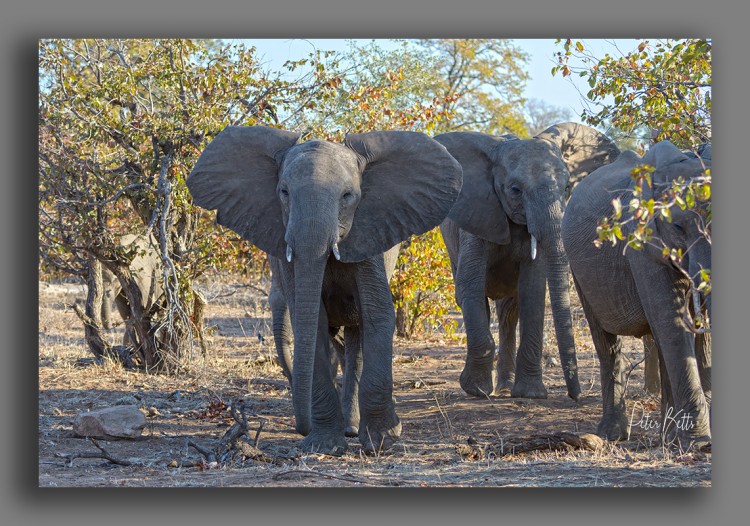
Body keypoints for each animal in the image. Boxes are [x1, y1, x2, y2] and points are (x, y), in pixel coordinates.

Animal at [187, 126, 464, 456]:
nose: (301, 427)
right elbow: (312, 320)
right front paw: (324, 446)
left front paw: (382, 442)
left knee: (357, 339)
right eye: (283, 192)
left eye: (348, 196)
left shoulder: (369, 234)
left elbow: (378, 313)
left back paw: (354, 429)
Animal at [438, 124, 620, 402]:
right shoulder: (475, 217)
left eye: (567, 187)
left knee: (509, 311)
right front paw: (476, 390)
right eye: (515, 190)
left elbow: (533, 291)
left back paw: (504, 388)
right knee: (478, 300)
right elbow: (470, 285)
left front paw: (531, 394)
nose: (575, 396)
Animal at [564, 140, 716, 450]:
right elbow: (672, 322)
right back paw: (612, 434)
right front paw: (698, 443)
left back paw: (667, 437)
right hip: (579, 271)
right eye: (678, 227)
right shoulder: (641, 244)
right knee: (607, 345)